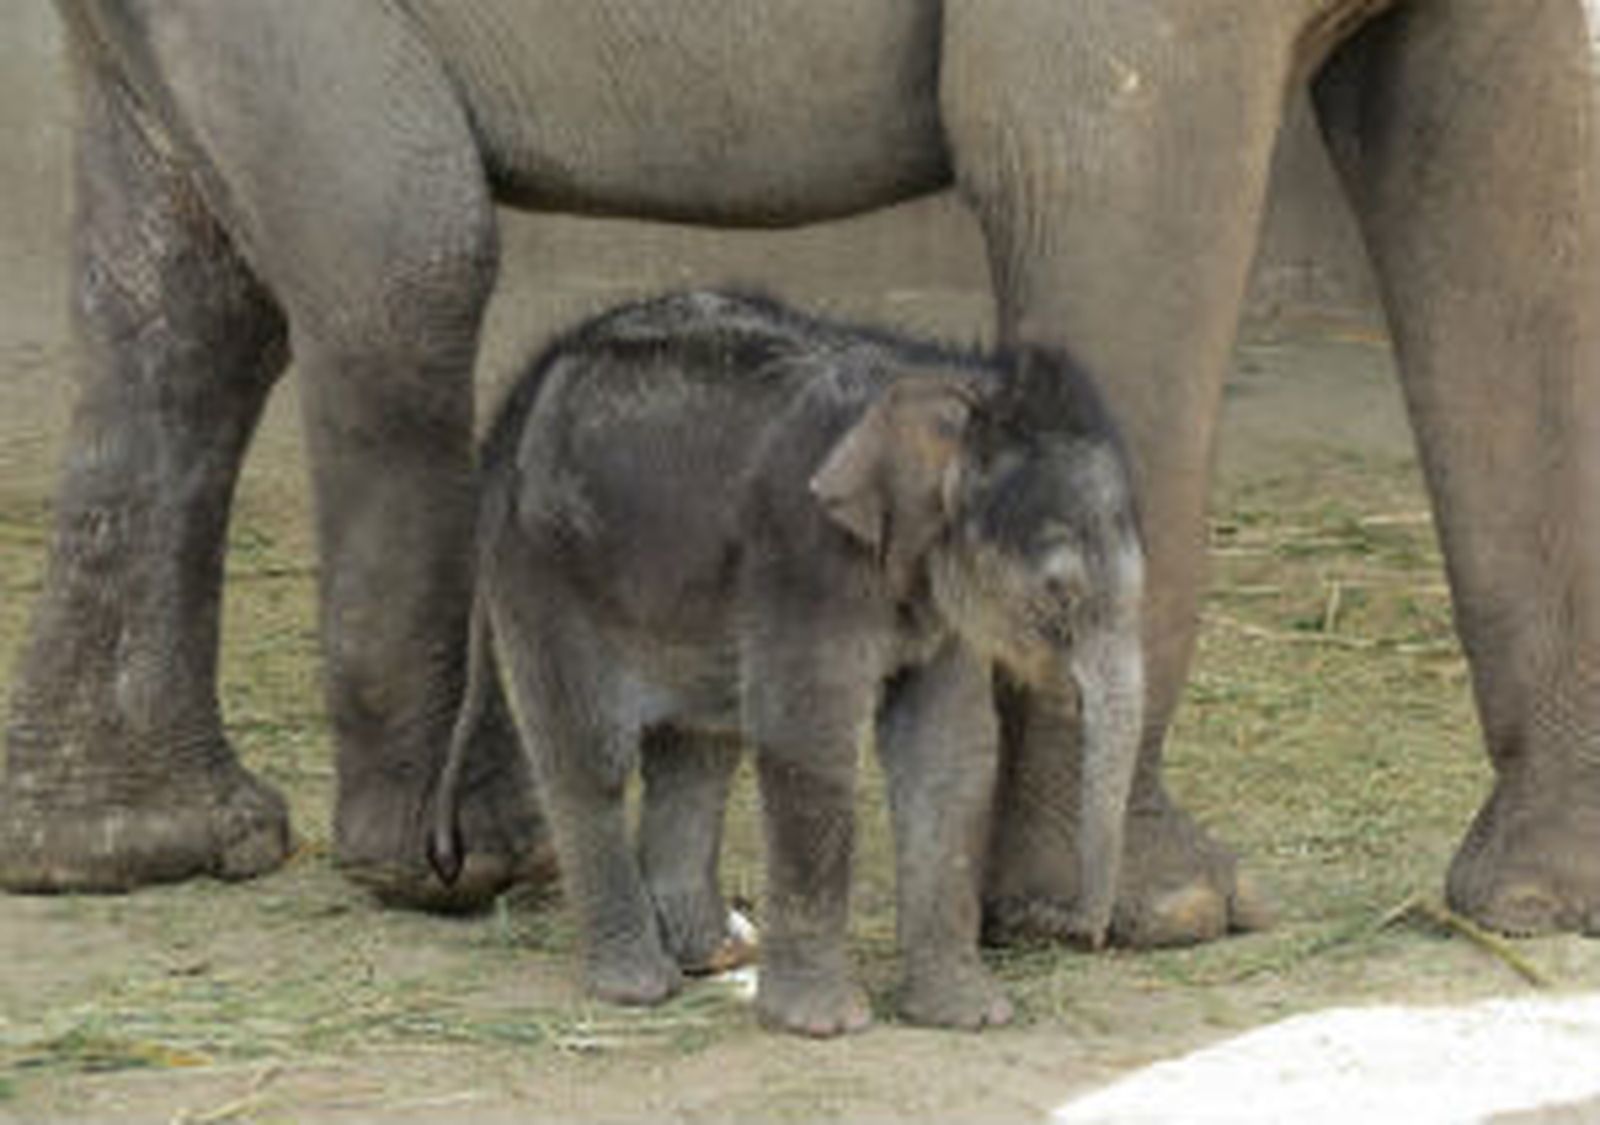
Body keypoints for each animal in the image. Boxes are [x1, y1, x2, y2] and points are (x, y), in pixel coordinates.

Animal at [6, 1, 1599, 943]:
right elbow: (1087, 145)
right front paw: (1141, 916)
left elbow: (1515, 159)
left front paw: (1546, 906)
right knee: (407, 261)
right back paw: (464, 858)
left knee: (182, 303)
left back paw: (131, 848)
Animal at [426, 291, 1145, 1034]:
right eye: (1058, 589)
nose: (1072, 928)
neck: (943, 383)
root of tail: (508, 413)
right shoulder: (805, 556)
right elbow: (808, 742)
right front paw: (826, 1026)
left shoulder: (932, 592)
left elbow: (949, 751)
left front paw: (972, 1016)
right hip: (544, 572)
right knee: (591, 758)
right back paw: (638, 986)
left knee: (698, 747)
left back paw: (716, 954)